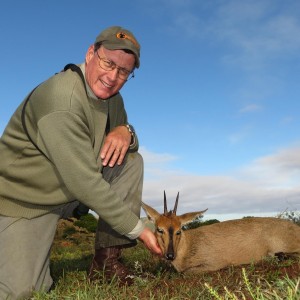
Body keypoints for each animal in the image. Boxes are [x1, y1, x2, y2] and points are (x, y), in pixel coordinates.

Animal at [142, 192, 300, 274]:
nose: (170, 255)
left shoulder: (215, 263)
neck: (188, 247)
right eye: (159, 229)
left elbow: (187, 272)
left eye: (179, 230)